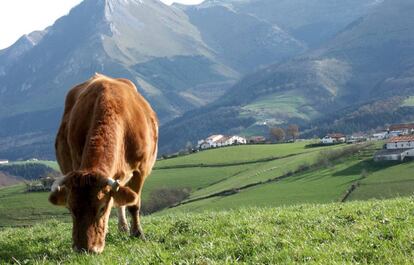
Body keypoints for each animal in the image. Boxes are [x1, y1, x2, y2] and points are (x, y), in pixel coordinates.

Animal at [48, 73, 158, 253]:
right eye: (70, 209)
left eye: (101, 208)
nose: (84, 249)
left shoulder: (140, 170)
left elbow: (133, 204)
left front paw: (138, 234)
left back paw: (124, 228)